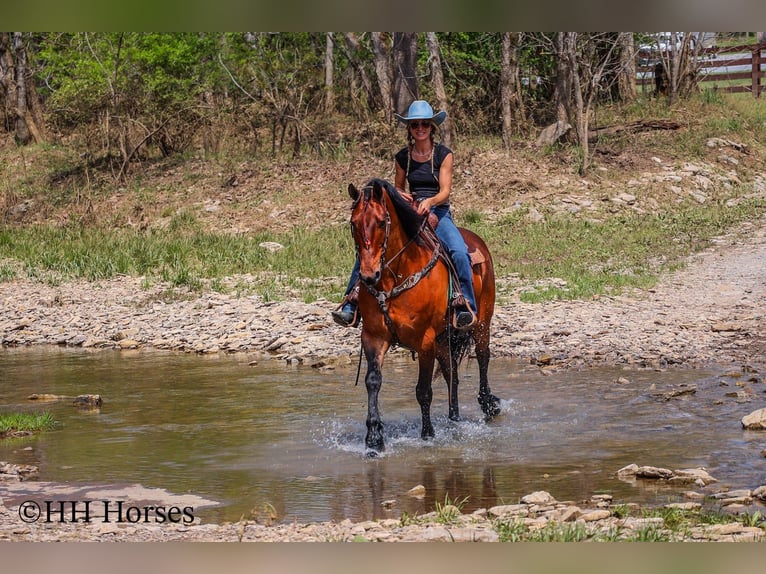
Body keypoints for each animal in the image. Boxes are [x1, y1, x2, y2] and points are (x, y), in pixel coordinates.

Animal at [347, 178, 501, 455]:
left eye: (381, 222)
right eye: (353, 223)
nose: (368, 276)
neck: (393, 278)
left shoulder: (424, 340)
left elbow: (423, 390)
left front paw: (427, 434)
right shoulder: (373, 337)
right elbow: (373, 381)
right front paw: (374, 438)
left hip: (481, 322)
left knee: (483, 357)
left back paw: (489, 404)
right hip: (443, 339)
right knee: (452, 375)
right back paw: (454, 418)